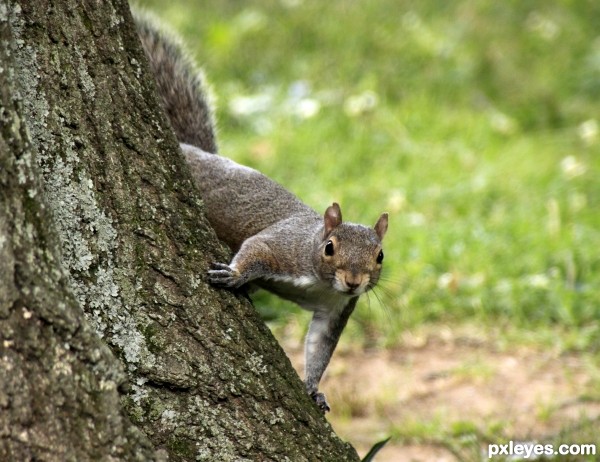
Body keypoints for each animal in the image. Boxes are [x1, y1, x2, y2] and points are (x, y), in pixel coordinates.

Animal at [134, 9, 390, 412]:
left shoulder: (334, 310)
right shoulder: (282, 246)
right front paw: (235, 275)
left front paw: (313, 389)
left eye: (379, 256)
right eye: (329, 247)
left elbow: (319, 347)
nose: (353, 282)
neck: (322, 281)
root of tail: (187, 148)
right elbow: (257, 247)